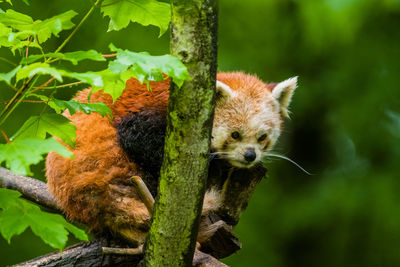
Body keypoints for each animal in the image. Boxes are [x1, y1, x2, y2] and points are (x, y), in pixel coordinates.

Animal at [46, 71, 296, 247]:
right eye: (235, 134)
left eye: (262, 137)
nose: (249, 155)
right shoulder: (150, 116)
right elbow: (140, 140)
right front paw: (213, 162)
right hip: (107, 163)